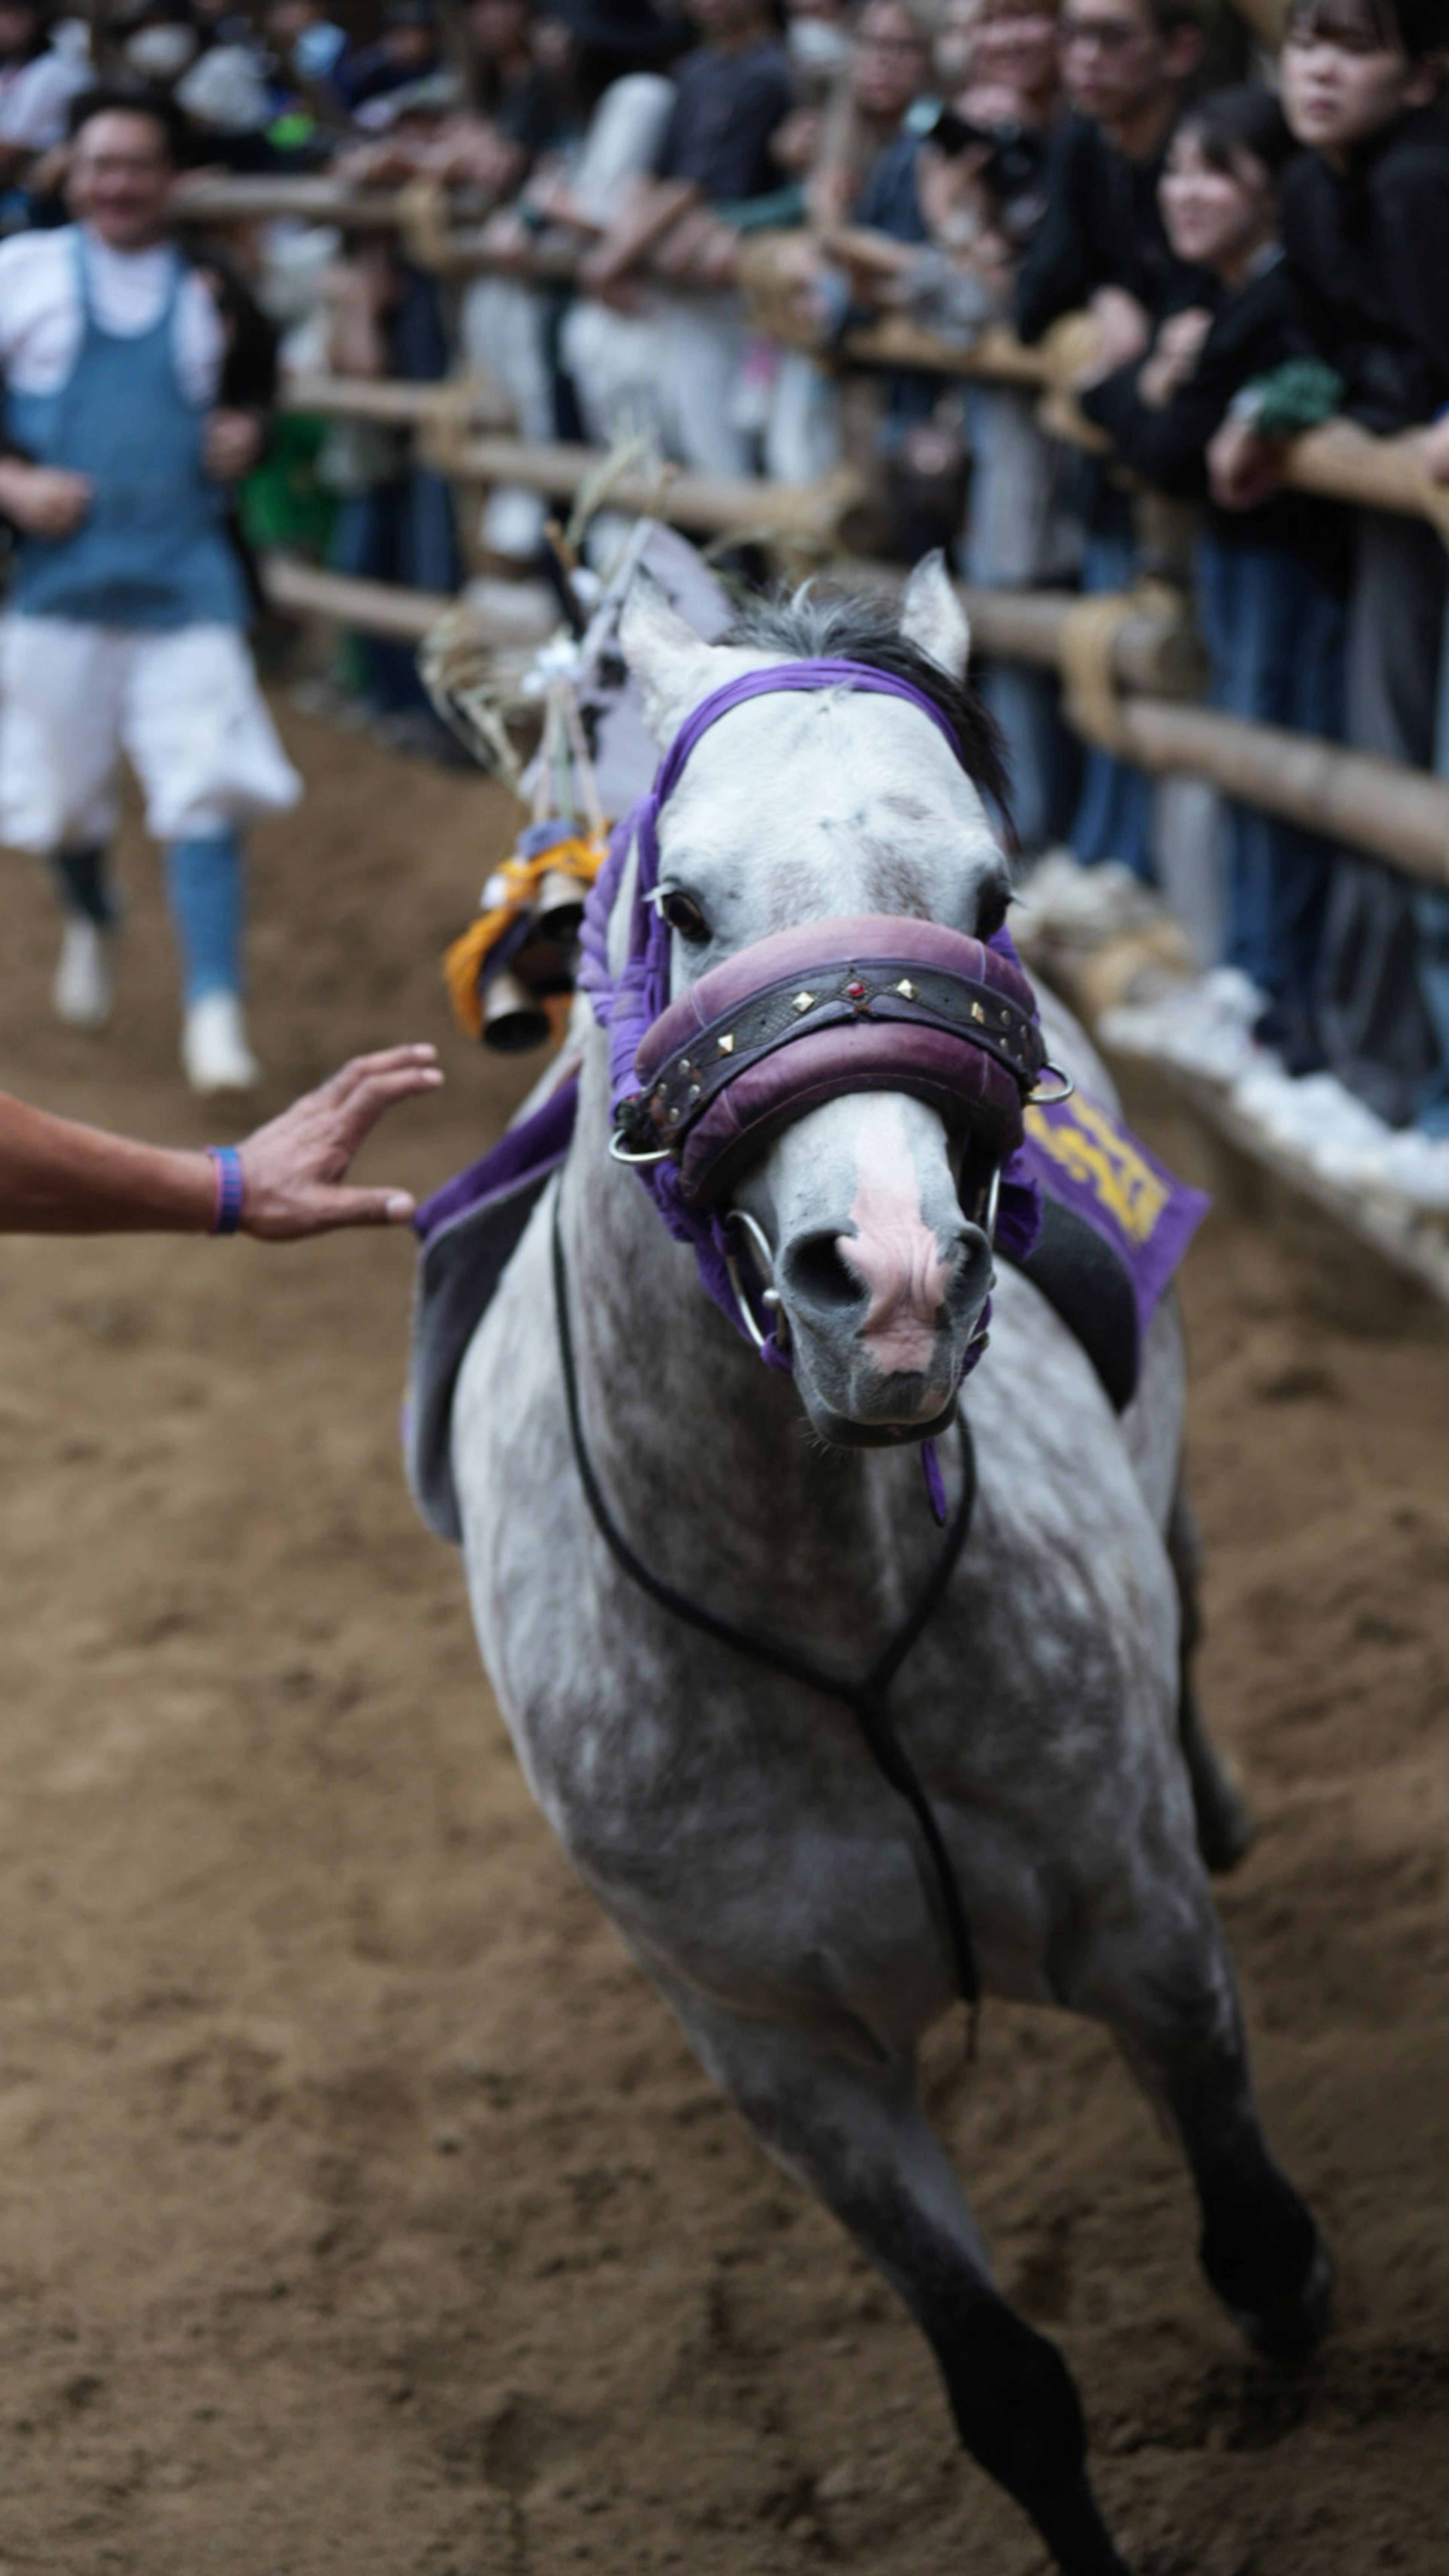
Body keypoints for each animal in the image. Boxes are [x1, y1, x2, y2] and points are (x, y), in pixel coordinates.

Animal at [448, 569, 1320, 2576]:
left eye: (991, 893)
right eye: (684, 904)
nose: (900, 1282)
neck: (814, 1608)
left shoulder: (1142, 1917)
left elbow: (1256, 2235)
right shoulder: (785, 2055)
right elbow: (1005, 2386)